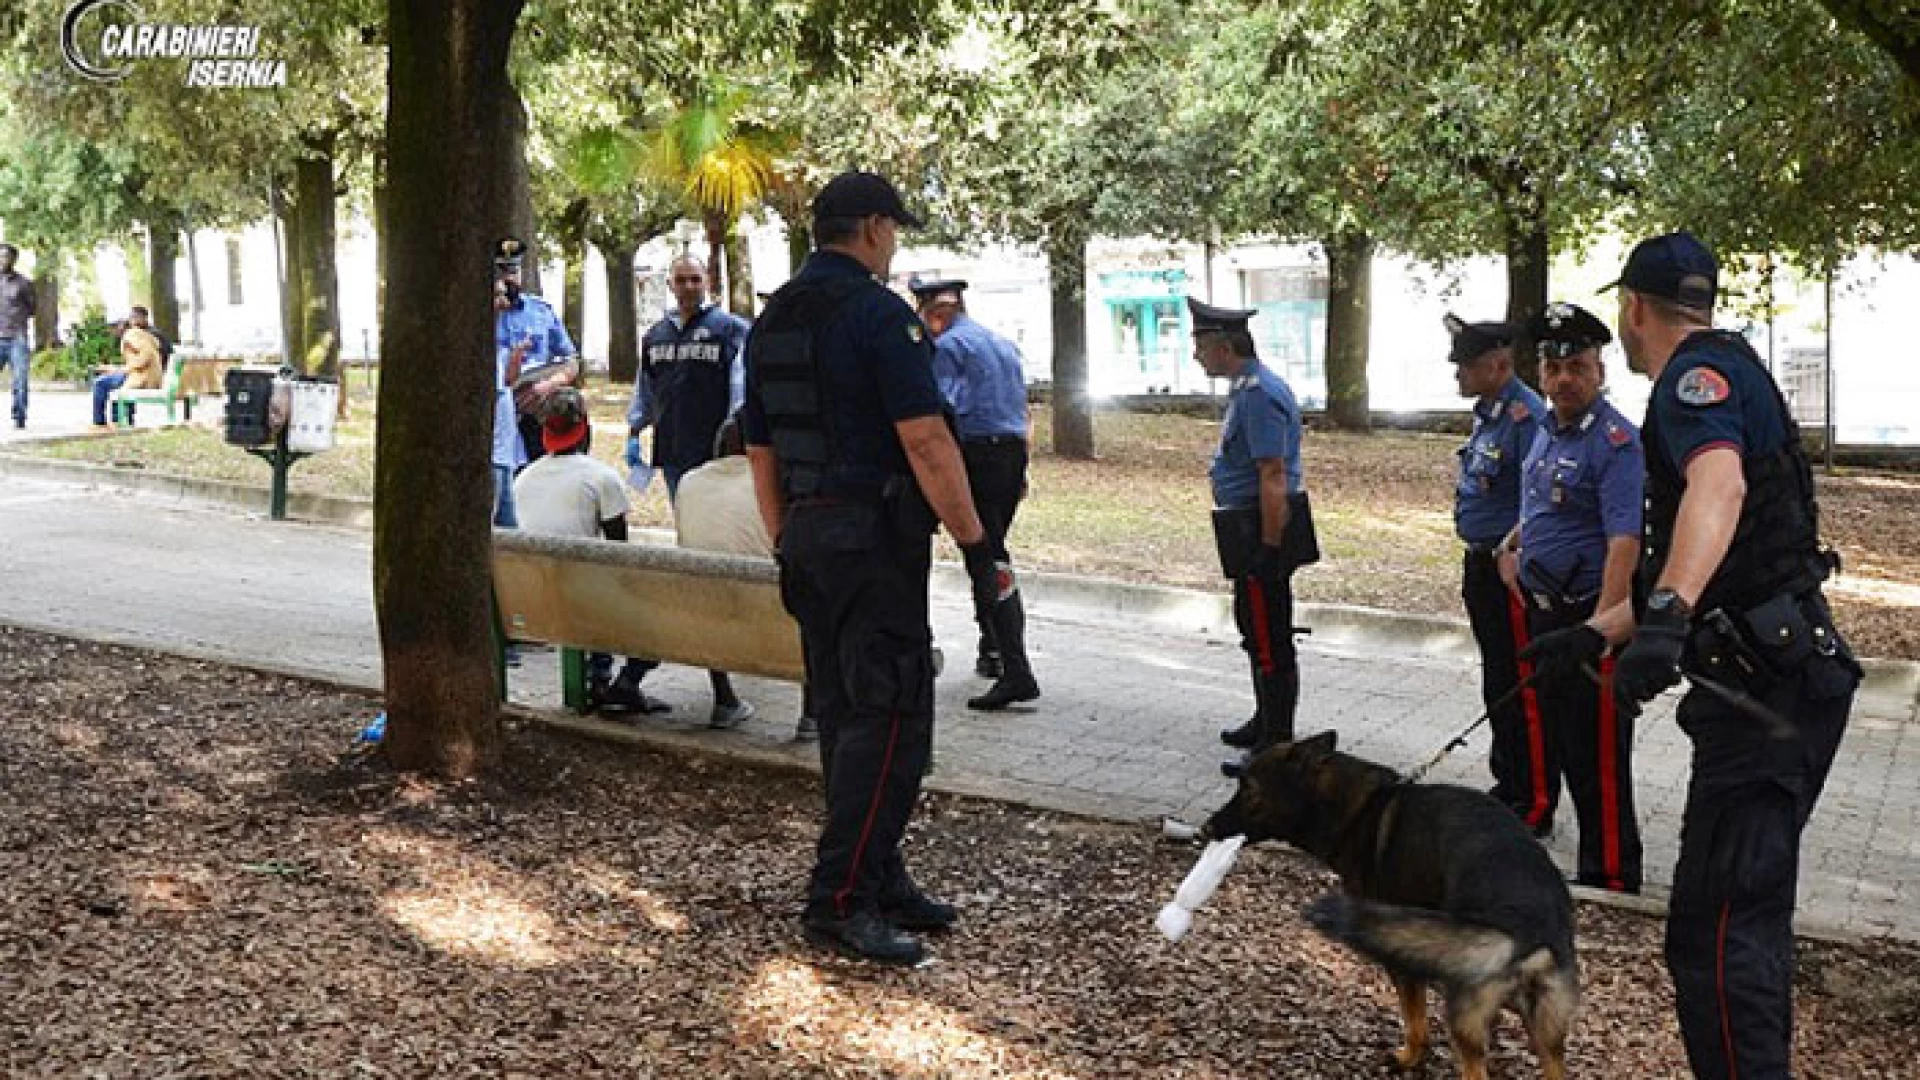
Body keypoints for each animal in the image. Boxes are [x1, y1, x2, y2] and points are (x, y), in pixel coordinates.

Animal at [1205, 726, 1582, 1068]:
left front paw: (1409, 1058)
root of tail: (1531, 927)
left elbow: (1415, 1021)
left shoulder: (1402, 962)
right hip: (1546, 1034)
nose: (1208, 827)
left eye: (1248, 787)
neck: (1359, 810)